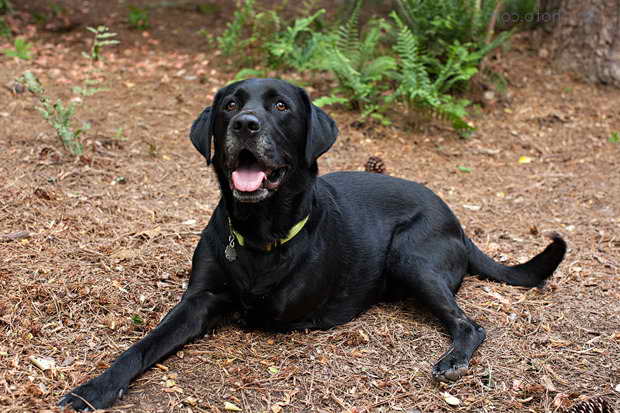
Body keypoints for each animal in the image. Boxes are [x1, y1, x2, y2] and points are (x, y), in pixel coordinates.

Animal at [59, 78, 568, 408]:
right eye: (230, 105)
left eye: (281, 107)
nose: (245, 124)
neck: (259, 226)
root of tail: (458, 222)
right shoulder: (199, 298)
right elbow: (145, 344)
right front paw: (94, 388)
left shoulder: (280, 306)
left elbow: (256, 303)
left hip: (411, 258)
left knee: (471, 324)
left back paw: (454, 359)